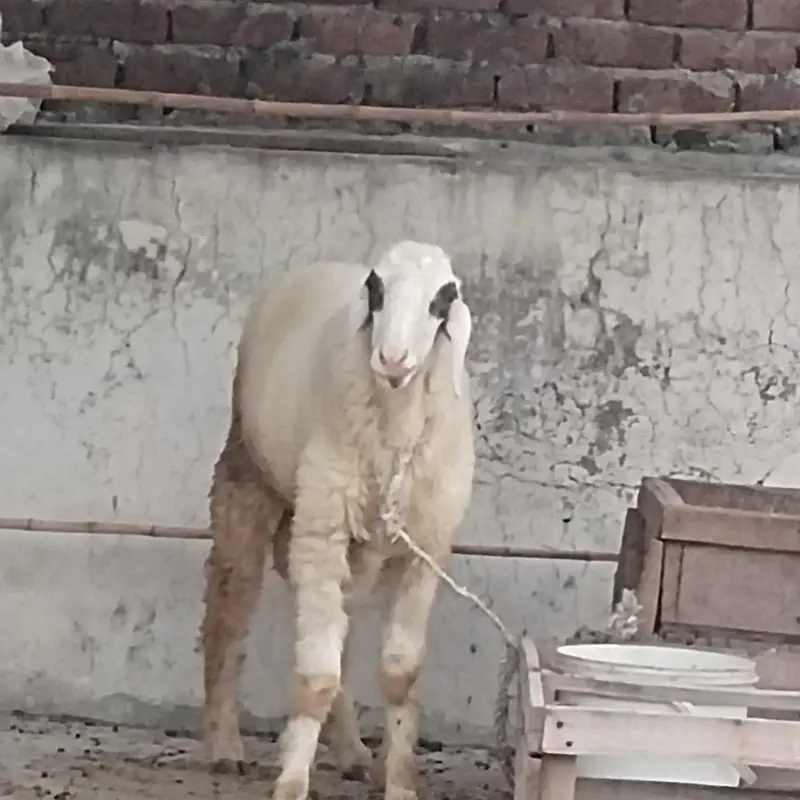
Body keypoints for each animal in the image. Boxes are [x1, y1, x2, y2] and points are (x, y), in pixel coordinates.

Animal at [201, 240, 476, 800]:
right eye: (376, 289)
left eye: (443, 298)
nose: (392, 359)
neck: (396, 424)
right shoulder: (323, 533)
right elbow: (316, 677)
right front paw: (290, 783)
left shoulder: (426, 550)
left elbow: (399, 675)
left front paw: (400, 783)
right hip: (250, 473)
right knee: (230, 603)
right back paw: (224, 744)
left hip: (355, 541)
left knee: (340, 631)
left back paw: (352, 752)